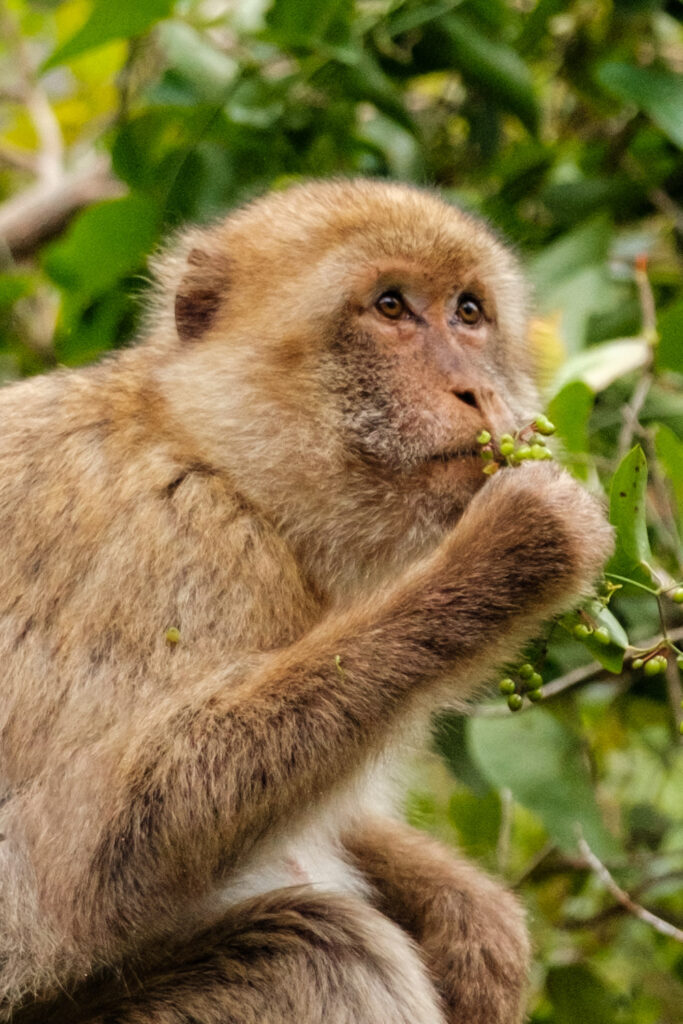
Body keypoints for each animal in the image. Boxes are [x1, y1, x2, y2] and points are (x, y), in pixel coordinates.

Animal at [0, 182, 614, 1024]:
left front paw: (466, 913)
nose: (478, 391)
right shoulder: (159, 541)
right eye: (390, 306)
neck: (216, 458)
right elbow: (83, 855)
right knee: (321, 949)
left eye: (467, 311)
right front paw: (514, 548)